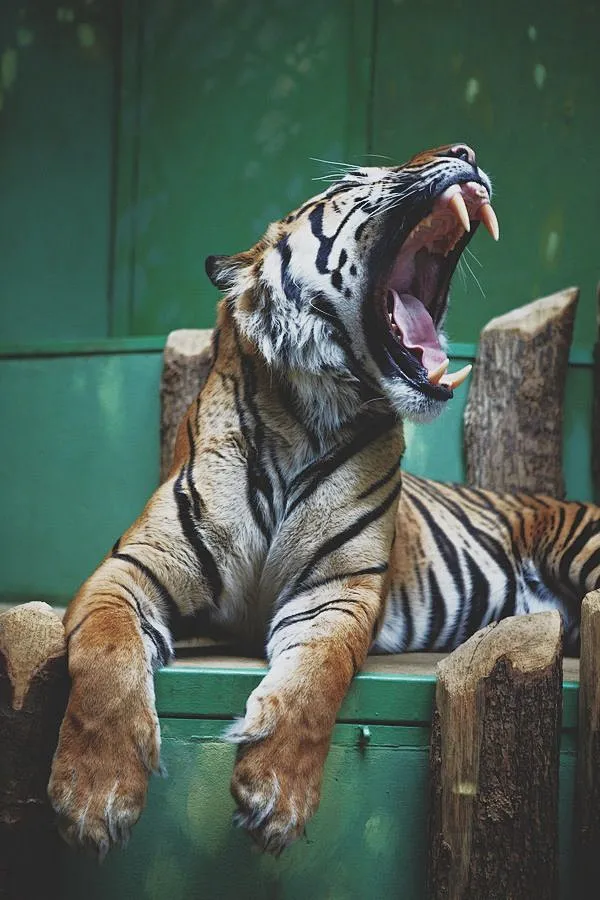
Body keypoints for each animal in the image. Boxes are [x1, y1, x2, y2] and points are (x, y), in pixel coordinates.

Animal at [47, 143, 600, 859]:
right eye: (355, 181)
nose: (464, 152)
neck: (303, 422)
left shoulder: (336, 590)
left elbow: (316, 674)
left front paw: (276, 793)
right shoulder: (127, 571)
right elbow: (106, 663)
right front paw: (95, 794)